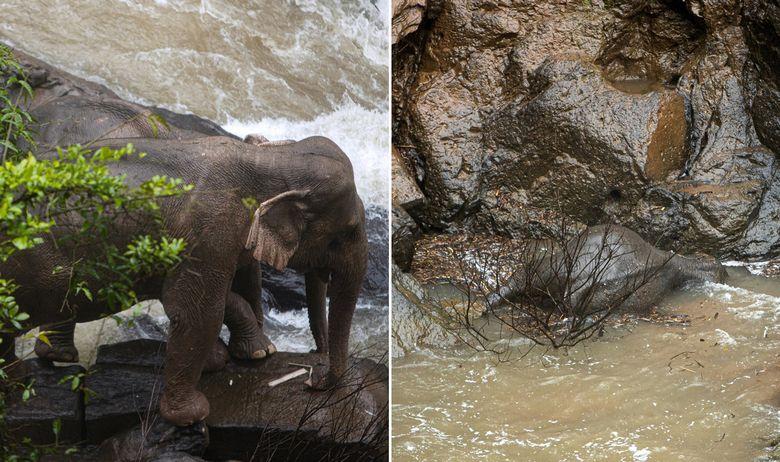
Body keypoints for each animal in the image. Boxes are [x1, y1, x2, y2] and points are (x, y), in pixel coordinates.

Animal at [0, 134, 368, 426]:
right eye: (347, 231)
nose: (312, 379)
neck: (272, 158)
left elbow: (214, 295)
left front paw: (241, 356)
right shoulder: (210, 231)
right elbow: (197, 311)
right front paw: (192, 415)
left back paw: (36, 368)